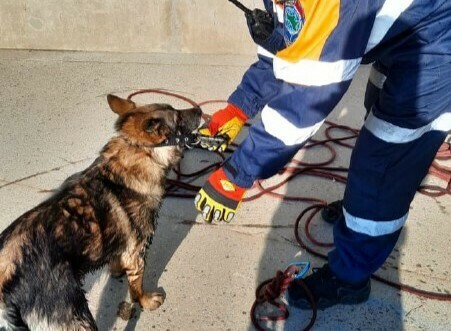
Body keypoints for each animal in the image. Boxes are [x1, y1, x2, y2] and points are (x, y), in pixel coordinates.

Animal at [0, 94, 202, 330]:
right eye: (177, 117)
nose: (200, 111)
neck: (136, 150)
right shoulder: (137, 252)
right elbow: (137, 286)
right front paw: (145, 301)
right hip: (76, 315)